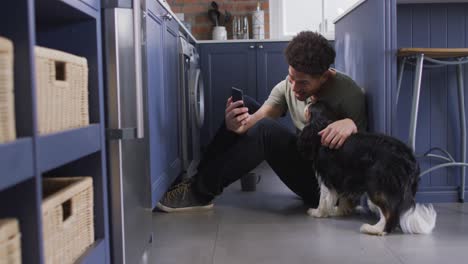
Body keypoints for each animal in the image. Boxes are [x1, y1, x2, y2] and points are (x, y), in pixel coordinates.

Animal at [298, 100, 436, 235]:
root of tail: (408, 158)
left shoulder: (327, 176)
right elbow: (343, 196)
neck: (326, 123)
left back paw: (375, 229)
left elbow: (324, 198)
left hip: (377, 185)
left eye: (309, 106)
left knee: (389, 213)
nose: (307, 101)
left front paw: (318, 212)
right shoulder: (344, 176)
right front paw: (340, 211)